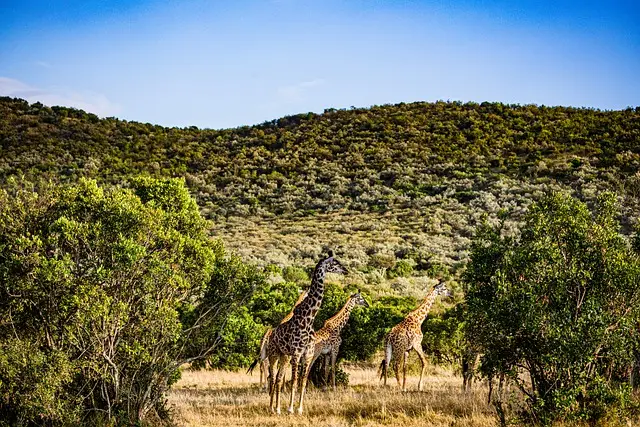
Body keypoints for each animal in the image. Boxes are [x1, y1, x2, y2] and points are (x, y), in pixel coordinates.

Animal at [264, 254, 348, 414]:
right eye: (334, 263)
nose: (346, 270)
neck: (308, 319)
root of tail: (270, 336)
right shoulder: (297, 354)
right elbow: (294, 381)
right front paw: (290, 408)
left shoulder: (307, 355)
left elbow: (303, 382)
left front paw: (300, 408)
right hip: (274, 354)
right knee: (272, 377)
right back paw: (271, 407)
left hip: (284, 356)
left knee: (278, 378)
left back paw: (277, 408)